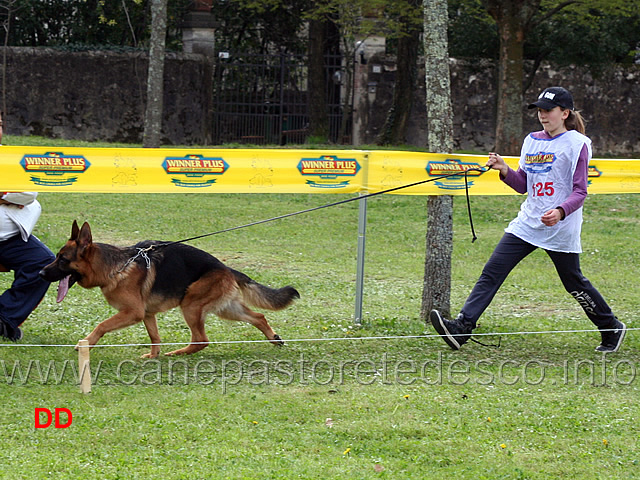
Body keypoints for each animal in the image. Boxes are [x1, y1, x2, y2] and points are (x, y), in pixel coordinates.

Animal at [40, 221, 300, 356]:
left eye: (62, 260)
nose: (41, 273)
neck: (115, 266)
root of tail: (226, 268)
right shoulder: (147, 314)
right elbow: (155, 337)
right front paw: (152, 357)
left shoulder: (132, 312)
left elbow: (101, 325)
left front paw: (86, 343)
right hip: (226, 309)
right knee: (258, 316)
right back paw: (274, 338)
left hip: (191, 304)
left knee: (202, 340)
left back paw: (178, 353)